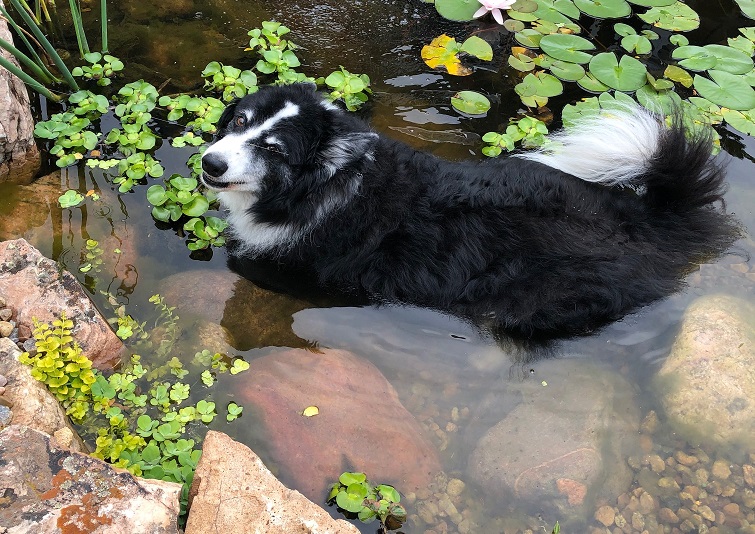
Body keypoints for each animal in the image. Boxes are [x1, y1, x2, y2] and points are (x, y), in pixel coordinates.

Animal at [199, 84, 740, 344]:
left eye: (274, 149)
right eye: (240, 120)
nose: (209, 163)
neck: (325, 182)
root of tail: (644, 217)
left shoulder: (310, 273)